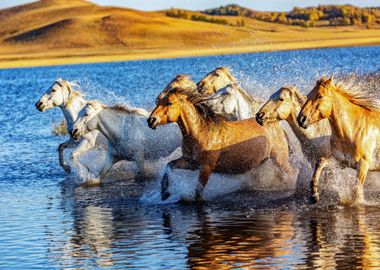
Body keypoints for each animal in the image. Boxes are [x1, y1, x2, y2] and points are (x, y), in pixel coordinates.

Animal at [147, 86, 292, 200]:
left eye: (170, 103)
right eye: (159, 102)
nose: (151, 120)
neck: (201, 133)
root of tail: (276, 124)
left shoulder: (206, 167)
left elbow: (198, 192)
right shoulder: (191, 163)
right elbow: (169, 166)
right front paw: (164, 193)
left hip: (280, 160)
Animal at [298, 75, 380, 204]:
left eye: (320, 96)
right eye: (308, 95)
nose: (301, 119)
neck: (352, 130)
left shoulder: (363, 165)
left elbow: (356, 193)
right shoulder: (340, 162)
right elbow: (320, 162)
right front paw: (314, 194)